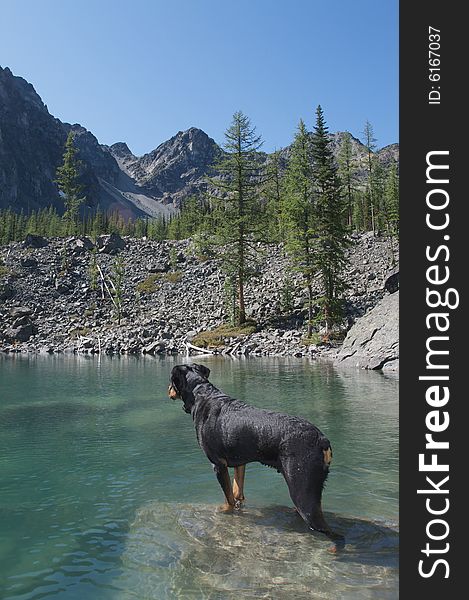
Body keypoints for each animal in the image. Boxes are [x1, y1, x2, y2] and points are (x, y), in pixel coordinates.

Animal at [168, 360, 344, 548]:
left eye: (171, 381)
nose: (168, 389)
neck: (201, 394)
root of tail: (322, 440)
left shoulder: (218, 464)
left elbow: (228, 497)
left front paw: (224, 510)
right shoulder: (240, 463)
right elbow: (237, 492)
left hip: (302, 492)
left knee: (332, 532)